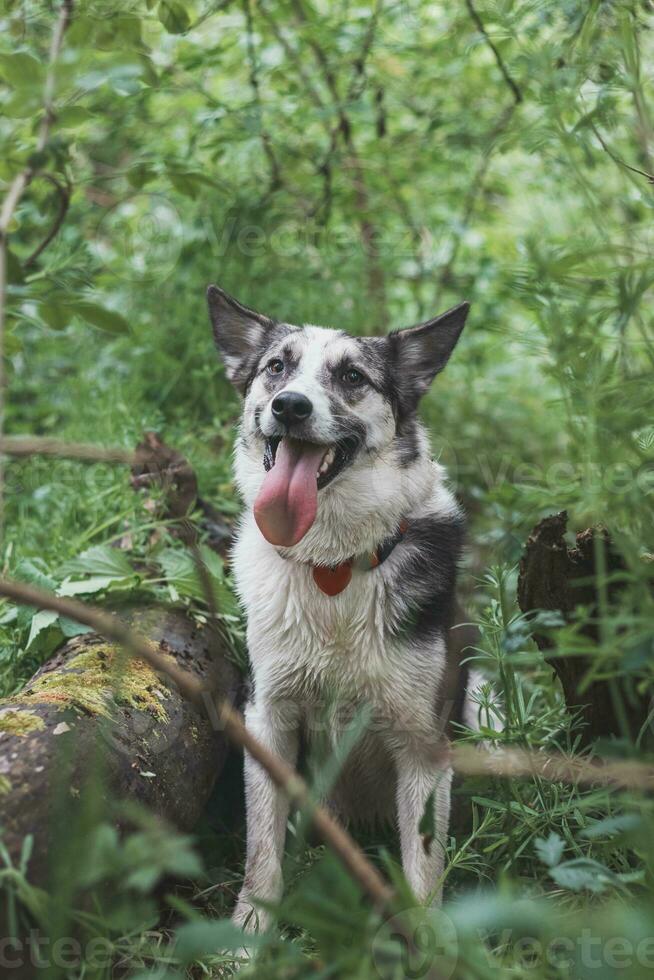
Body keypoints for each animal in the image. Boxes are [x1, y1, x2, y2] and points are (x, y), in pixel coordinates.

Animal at [209, 288, 482, 932]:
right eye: (276, 368)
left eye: (353, 376)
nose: (289, 406)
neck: (331, 563)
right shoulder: (269, 719)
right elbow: (262, 852)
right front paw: (247, 937)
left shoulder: (422, 746)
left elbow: (423, 870)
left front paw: (427, 943)